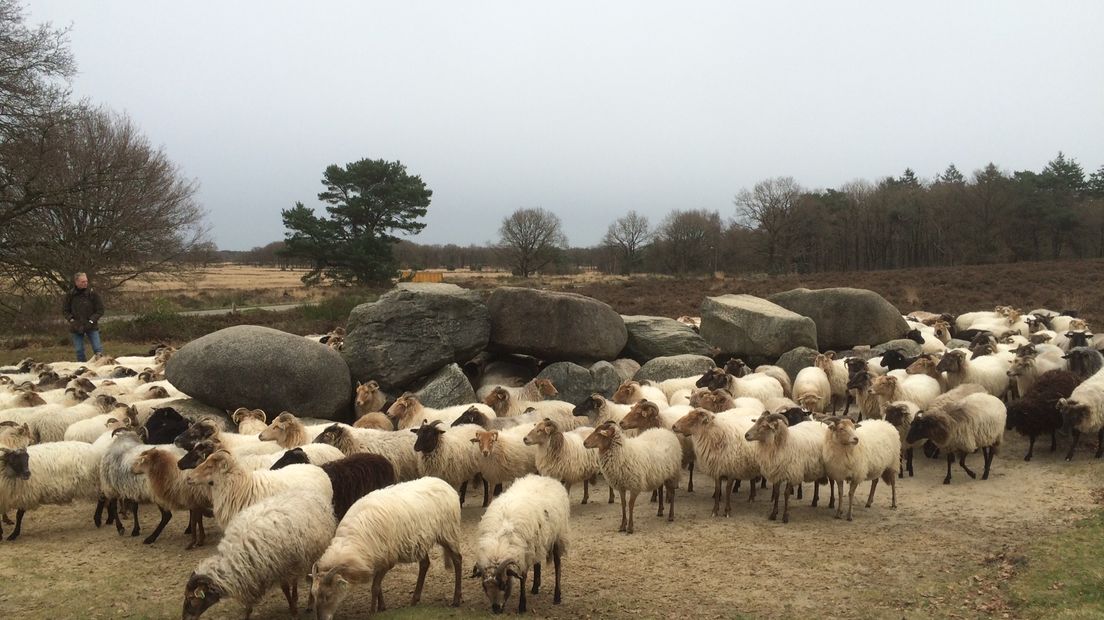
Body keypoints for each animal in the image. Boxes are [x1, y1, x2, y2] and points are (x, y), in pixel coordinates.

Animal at [178, 487, 335, 617]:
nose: (185, 618)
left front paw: (294, 611)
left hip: (311, 554)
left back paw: (308, 604)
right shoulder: (256, 574)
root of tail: (310, 493)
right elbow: (256, 601)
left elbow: (288, 589)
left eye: (191, 598)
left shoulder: (283, 567)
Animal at [309, 474, 463, 613]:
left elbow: (375, 587)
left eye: (328, 595)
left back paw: (456, 599)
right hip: (420, 541)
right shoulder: (376, 558)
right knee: (425, 564)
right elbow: (378, 587)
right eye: (314, 595)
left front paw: (372, 611)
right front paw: (381, 607)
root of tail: (445, 484)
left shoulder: (387, 560)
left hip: (448, 532)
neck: (352, 542)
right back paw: (415, 599)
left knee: (457, 559)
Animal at [474, 472, 569, 613]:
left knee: (558, 564)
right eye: (484, 587)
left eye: (503, 584)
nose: (496, 609)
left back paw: (557, 596)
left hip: (557, 537)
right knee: (537, 563)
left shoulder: (523, 557)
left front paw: (522, 606)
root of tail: (547, 478)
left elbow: (523, 579)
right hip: (537, 543)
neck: (499, 544)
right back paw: (535, 588)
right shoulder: (525, 552)